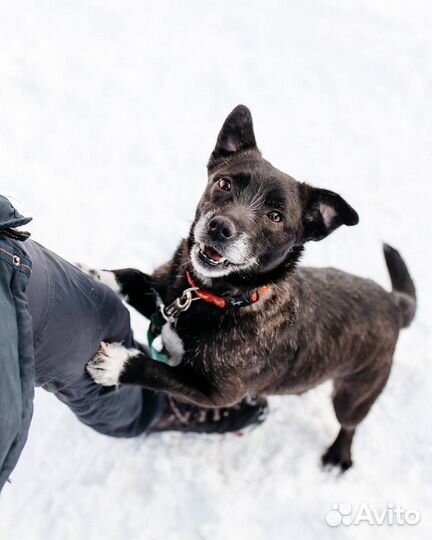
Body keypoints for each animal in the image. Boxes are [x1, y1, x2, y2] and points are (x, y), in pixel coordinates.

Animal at [82, 104, 416, 468]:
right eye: (224, 183)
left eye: (275, 216)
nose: (219, 227)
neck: (215, 296)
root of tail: (392, 300)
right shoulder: (165, 299)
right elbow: (128, 276)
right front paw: (91, 275)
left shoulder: (214, 393)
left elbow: (155, 370)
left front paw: (116, 364)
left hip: (355, 393)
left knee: (350, 424)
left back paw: (338, 455)